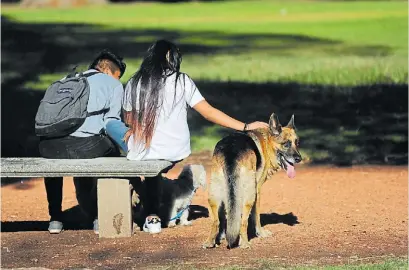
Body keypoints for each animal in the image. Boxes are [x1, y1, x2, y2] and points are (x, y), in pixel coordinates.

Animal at [202, 112, 302, 249]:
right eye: (286, 144)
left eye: (297, 143)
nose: (299, 159)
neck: (268, 142)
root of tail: (231, 151)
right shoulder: (258, 191)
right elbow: (256, 217)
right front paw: (261, 233)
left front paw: (222, 235)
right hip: (249, 195)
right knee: (243, 222)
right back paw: (244, 243)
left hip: (215, 194)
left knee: (216, 221)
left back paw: (210, 242)